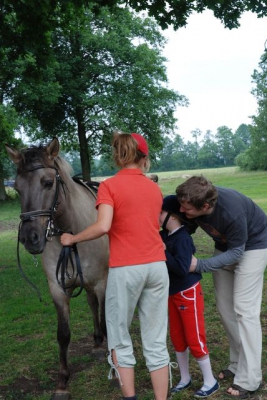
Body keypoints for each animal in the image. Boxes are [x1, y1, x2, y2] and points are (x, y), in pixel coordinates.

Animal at [4, 137, 109, 396]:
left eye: (48, 182)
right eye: (17, 187)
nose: (30, 238)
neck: (73, 232)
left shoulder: (101, 282)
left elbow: (107, 319)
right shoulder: (58, 288)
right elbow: (63, 334)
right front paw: (62, 382)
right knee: (92, 304)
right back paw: (97, 342)